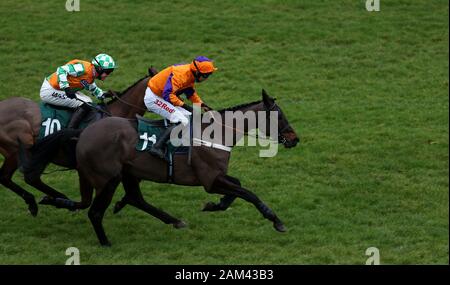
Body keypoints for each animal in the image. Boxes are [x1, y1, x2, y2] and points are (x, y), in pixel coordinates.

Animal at [0, 69, 158, 215]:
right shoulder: (85, 167)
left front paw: (121, 203)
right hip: (18, 150)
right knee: (15, 177)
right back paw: (45, 200)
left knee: (24, 178)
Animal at [67, 90, 298, 245]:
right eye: (279, 116)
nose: (294, 139)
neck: (216, 135)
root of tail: (83, 134)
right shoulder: (210, 181)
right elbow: (248, 193)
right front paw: (276, 220)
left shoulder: (217, 177)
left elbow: (238, 187)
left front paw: (215, 205)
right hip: (108, 180)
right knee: (96, 212)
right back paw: (106, 242)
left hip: (128, 173)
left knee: (134, 199)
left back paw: (174, 221)